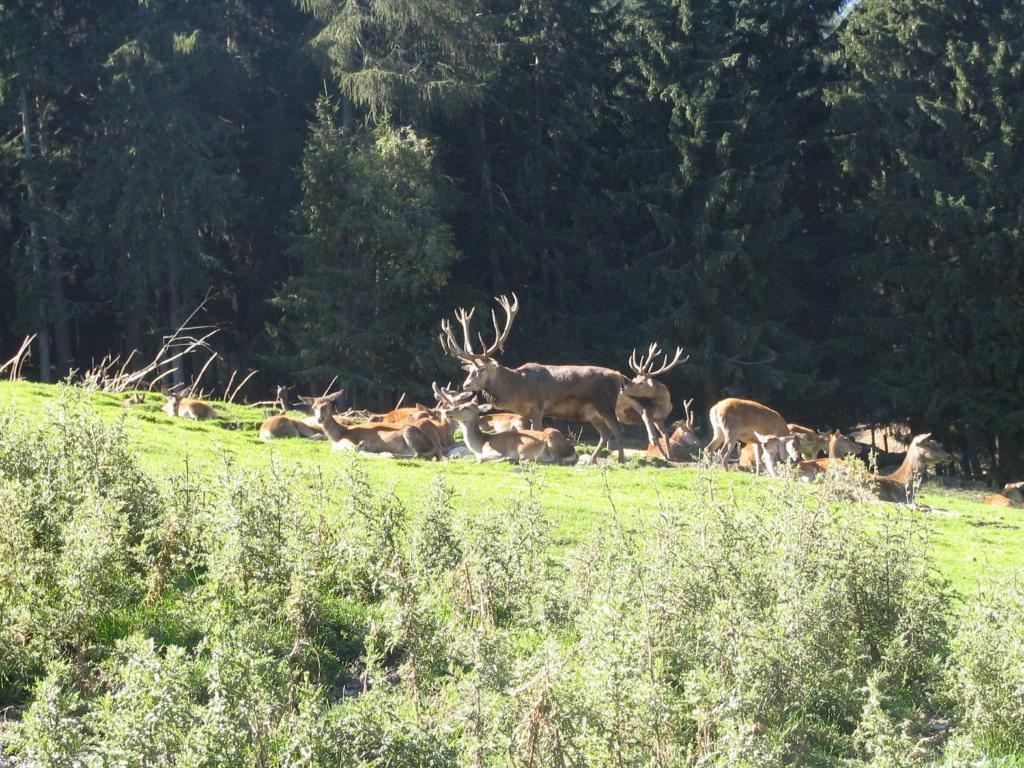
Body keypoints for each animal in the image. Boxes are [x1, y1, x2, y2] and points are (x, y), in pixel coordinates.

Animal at [432, 382, 577, 466]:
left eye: (466, 407)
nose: (447, 411)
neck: (480, 445)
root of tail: (573, 452)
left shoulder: (496, 451)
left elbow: (482, 459)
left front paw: (510, 458)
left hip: (552, 440)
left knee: (557, 460)